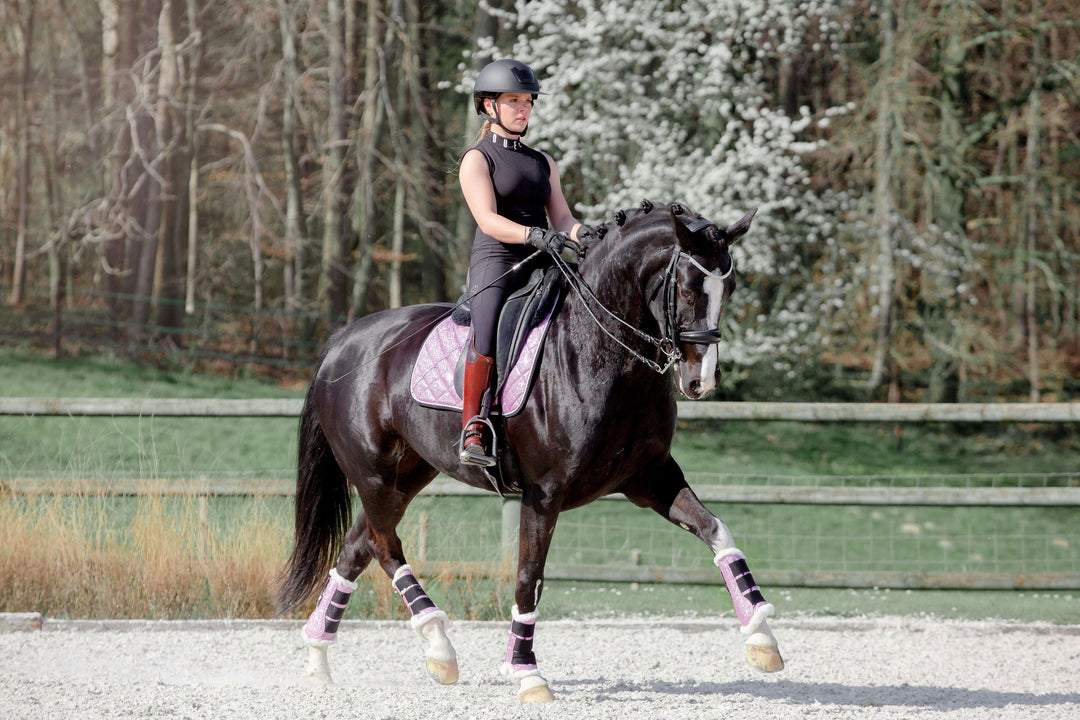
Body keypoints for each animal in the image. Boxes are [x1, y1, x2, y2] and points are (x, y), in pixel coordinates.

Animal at [278, 201, 786, 703]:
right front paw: (527, 673)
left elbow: (716, 531)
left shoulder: (649, 478)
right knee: (385, 546)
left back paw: (319, 660)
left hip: (406, 476)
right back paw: (438, 644)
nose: (701, 381)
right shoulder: (544, 492)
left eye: (730, 288)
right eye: (685, 288)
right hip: (374, 475)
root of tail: (341, 342)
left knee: (357, 547)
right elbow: (528, 576)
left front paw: (761, 637)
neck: (603, 353)